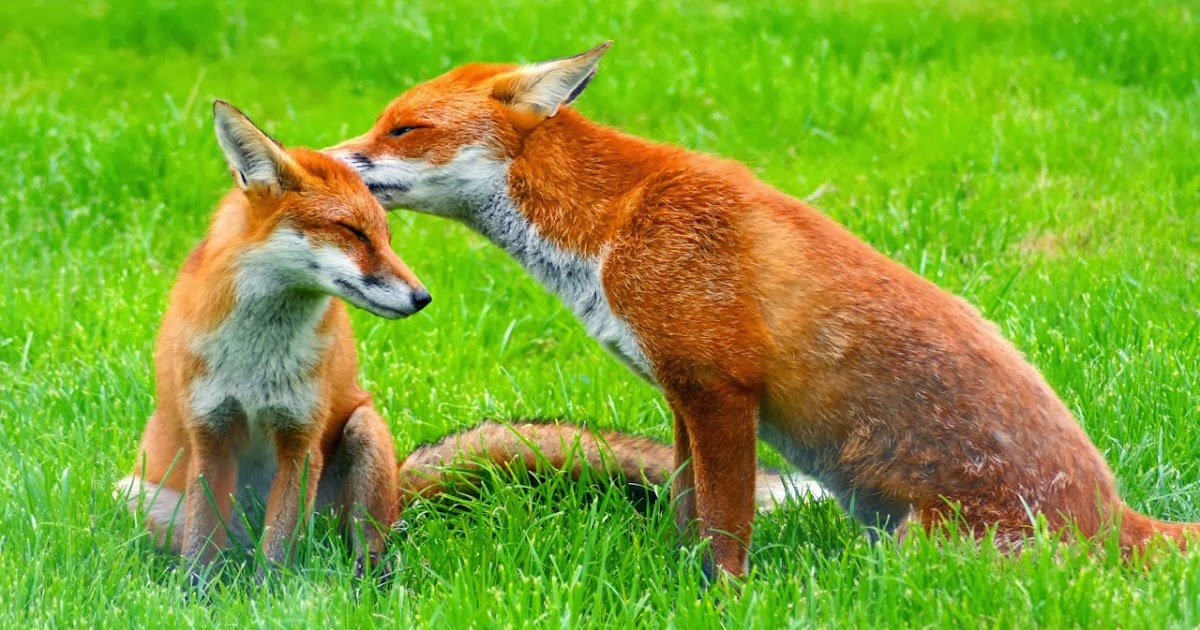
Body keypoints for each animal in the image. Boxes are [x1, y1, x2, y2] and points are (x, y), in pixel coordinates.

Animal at [117, 100, 431, 582]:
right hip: (133, 495)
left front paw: (269, 595)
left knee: (365, 551)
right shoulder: (210, 434)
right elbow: (199, 550)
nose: (422, 297)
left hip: (365, 434)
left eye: (386, 237)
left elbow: (279, 552)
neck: (255, 360)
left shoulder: (300, 441)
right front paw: (193, 595)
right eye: (353, 231)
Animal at [329, 42, 1200, 578]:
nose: (320, 161)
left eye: (403, 127)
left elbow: (727, 529)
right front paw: (677, 585)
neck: (610, 227)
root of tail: (1118, 520)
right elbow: (687, 513)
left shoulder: (722, 390)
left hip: (918, 547)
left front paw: (724, 597)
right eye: (381, 121)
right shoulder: (682, 394)